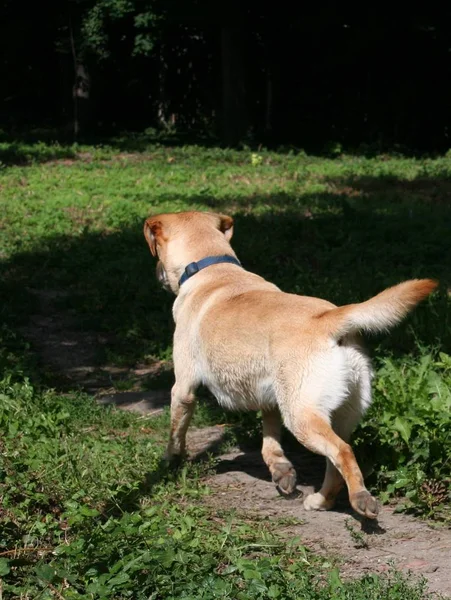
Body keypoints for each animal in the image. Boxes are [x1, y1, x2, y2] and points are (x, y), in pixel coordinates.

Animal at [144, 212, 438, 520]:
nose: (156, 273)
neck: (213, 267)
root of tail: (329, 318)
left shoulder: (183, 389)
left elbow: (176, 433)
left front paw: (170, 463)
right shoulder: (270, 397)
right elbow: (270, 440)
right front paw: (280, 469)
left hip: (301, 416)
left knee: (343, 452)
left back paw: (360, 498)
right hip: (336, 414)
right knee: (335, 461)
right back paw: (321, 501)